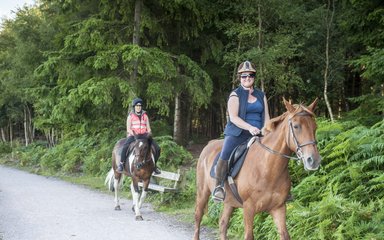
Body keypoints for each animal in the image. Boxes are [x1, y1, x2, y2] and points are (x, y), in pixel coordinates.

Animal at [194, 98, 322, 239]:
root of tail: (208, 145)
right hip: (202, 192)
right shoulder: (248, 208)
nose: (313, 160)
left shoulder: (278, 208)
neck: (267, 170)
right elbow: (249, 235)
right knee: (198, 217)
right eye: (296, 126)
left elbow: (284, 235)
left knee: (222, 223)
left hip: (229, 202)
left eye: (315, 127)